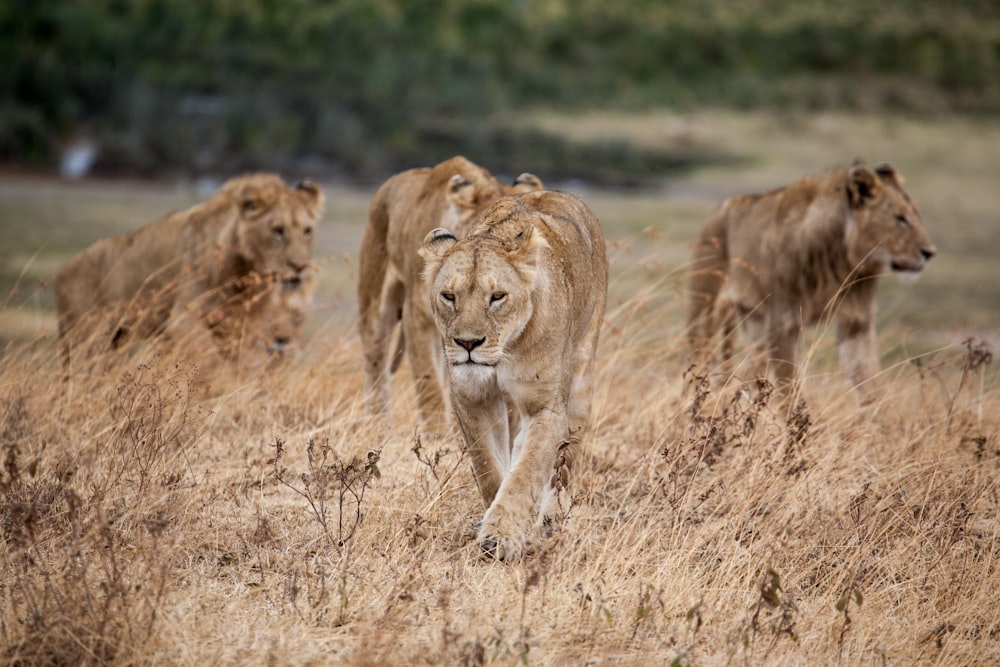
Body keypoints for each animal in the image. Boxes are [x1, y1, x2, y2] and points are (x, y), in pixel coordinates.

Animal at [54, 172, 324, 366]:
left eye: (307, 231)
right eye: (277, 230)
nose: (299, 266)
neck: (243, 273)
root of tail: (62, 270)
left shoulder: (238, 326)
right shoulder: (184, 321)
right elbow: (207, 367)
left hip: (115, 339)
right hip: (86, 339)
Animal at [358, 157, 544, 434]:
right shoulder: (418, 319)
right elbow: (429, 386)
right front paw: (436, 437)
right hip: (375, 303)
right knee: (375, 363)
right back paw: (377, 424)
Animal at [418, 190, 604, 560]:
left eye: (497, 297)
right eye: (449, 296)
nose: (468, 343)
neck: (503, 353)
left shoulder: (545, 407)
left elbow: (527, 472)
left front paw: (500, 538)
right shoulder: (472, 398)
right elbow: (489, 467)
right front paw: (495, 519)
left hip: (581, 381)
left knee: (565, 461)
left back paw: (552, 519)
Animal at [688, 163, 936, 402]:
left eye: (916, 216)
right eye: (901, 219)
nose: (930, 253)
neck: (843, 261)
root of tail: (721, 209)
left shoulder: (857, 322)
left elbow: (872, 386)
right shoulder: (783, 324)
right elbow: (791, 393)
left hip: (755, 323)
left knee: (746, 375)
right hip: (706, 312)